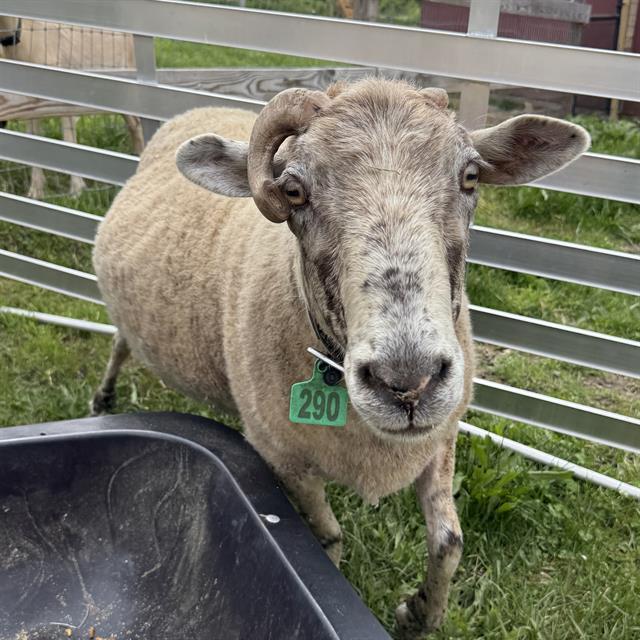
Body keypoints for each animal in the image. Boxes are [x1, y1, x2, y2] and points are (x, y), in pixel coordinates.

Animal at [0, 16, 143, 198]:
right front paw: (35, 192)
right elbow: (32, 141)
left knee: (136, 123)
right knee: (133, 124)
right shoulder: (26, 102)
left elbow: (68, 140)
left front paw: (77, 191)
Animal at [91, 79, 589, 636]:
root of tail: (200, 107)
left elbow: (449, 542)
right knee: (119, 342)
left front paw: (420, 614)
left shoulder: (440, 436)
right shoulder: (282, 456)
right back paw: (102, 397)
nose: (408, 382)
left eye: (470, 176)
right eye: (293, 192)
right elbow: (326, 537)